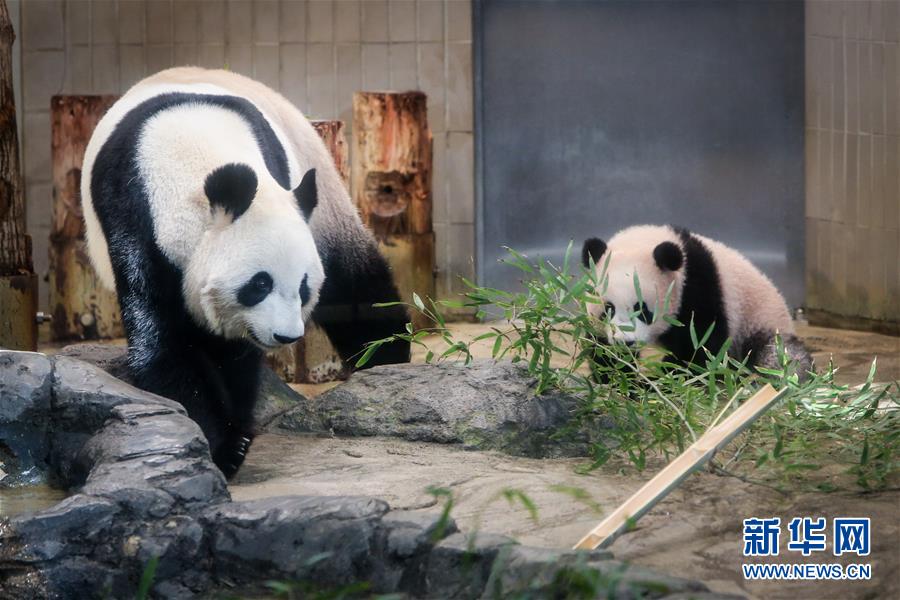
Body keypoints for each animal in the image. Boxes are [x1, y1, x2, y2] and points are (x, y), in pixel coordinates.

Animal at [83, 68, 408, 476]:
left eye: (304, 288)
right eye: (260, 284)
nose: (286, 336)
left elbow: (237, 356)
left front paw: (234, 435)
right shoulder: (133, 220)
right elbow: (164, 340)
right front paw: (221, 443)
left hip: (320, 192)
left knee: (356, 285)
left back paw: (388, 356)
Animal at [580, 225, 812, 380]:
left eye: (643, 310)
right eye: (608, 309)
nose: (624, 342)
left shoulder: (698, 288)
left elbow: (699, 348)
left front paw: (663, 381)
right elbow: (601, 348)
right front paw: (619, 378)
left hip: (759, 323)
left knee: (780, 357)